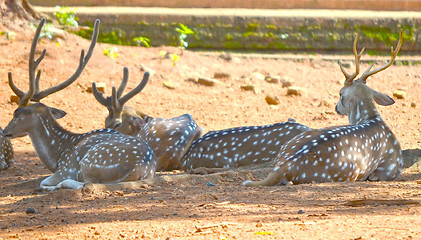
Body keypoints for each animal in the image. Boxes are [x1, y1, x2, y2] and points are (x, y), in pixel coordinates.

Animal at [2, 18, 157, 190]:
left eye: (16, 114)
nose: (5, 131)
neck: (57, 156)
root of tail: (141, 167)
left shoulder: (66, 168)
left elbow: (45, 181)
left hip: (92, 162)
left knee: (87, 184)